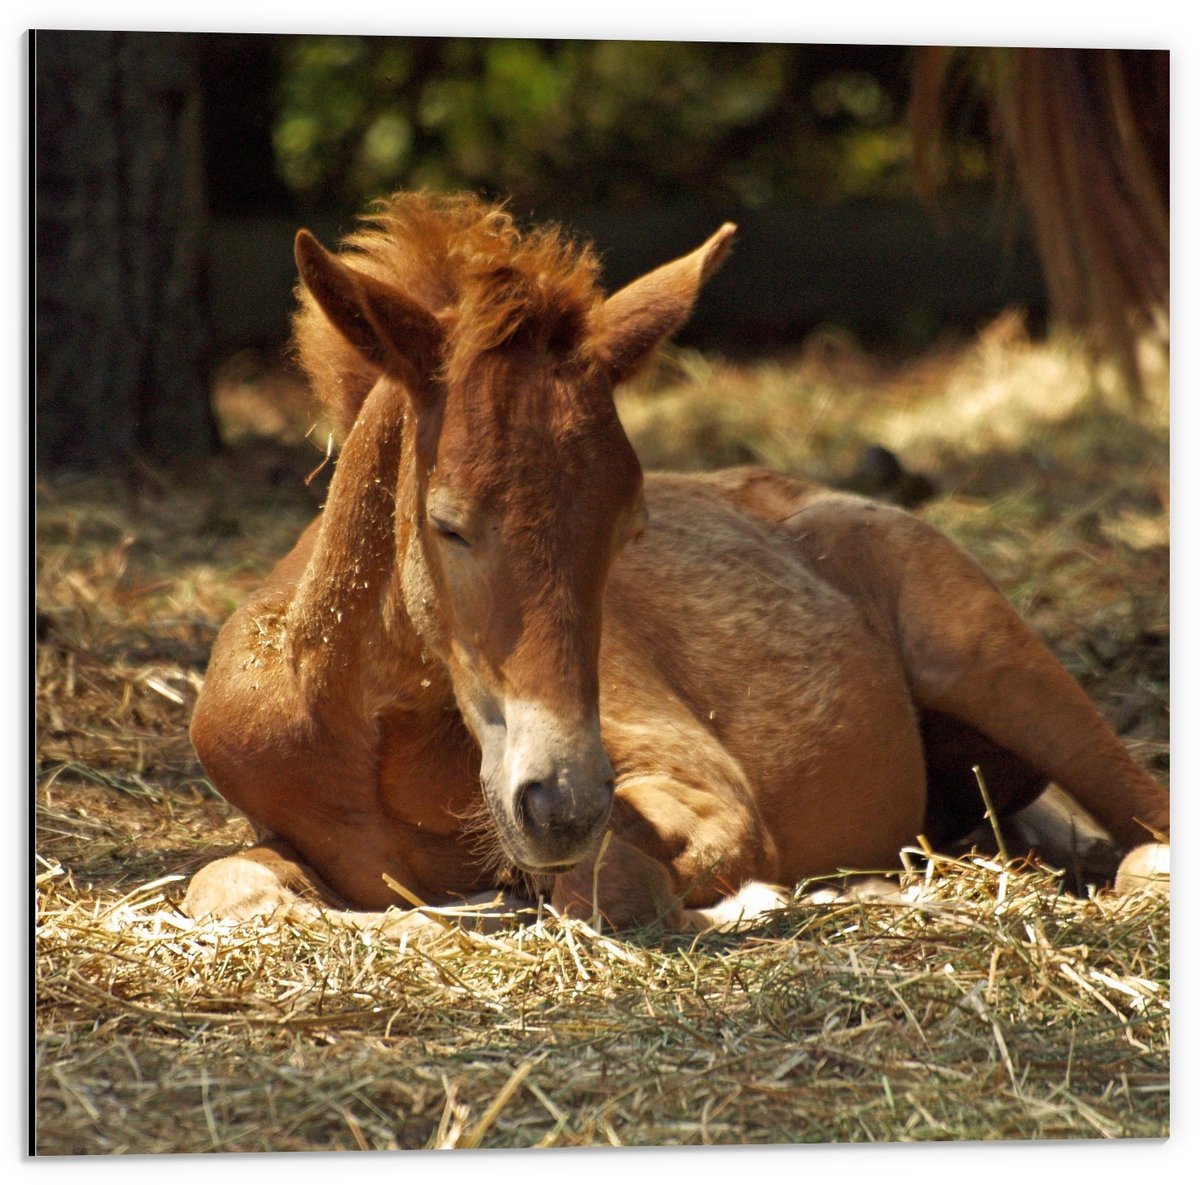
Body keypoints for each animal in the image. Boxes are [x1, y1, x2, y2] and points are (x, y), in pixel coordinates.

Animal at [184, 192, 1169, 933]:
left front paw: (760, 898)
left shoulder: (706, 790)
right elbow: (225, 888)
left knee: (1149, 824)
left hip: (996, 663)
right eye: (449, 524)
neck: (367, 734)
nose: (562, 803)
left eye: (630, 525)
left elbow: (608, 884)